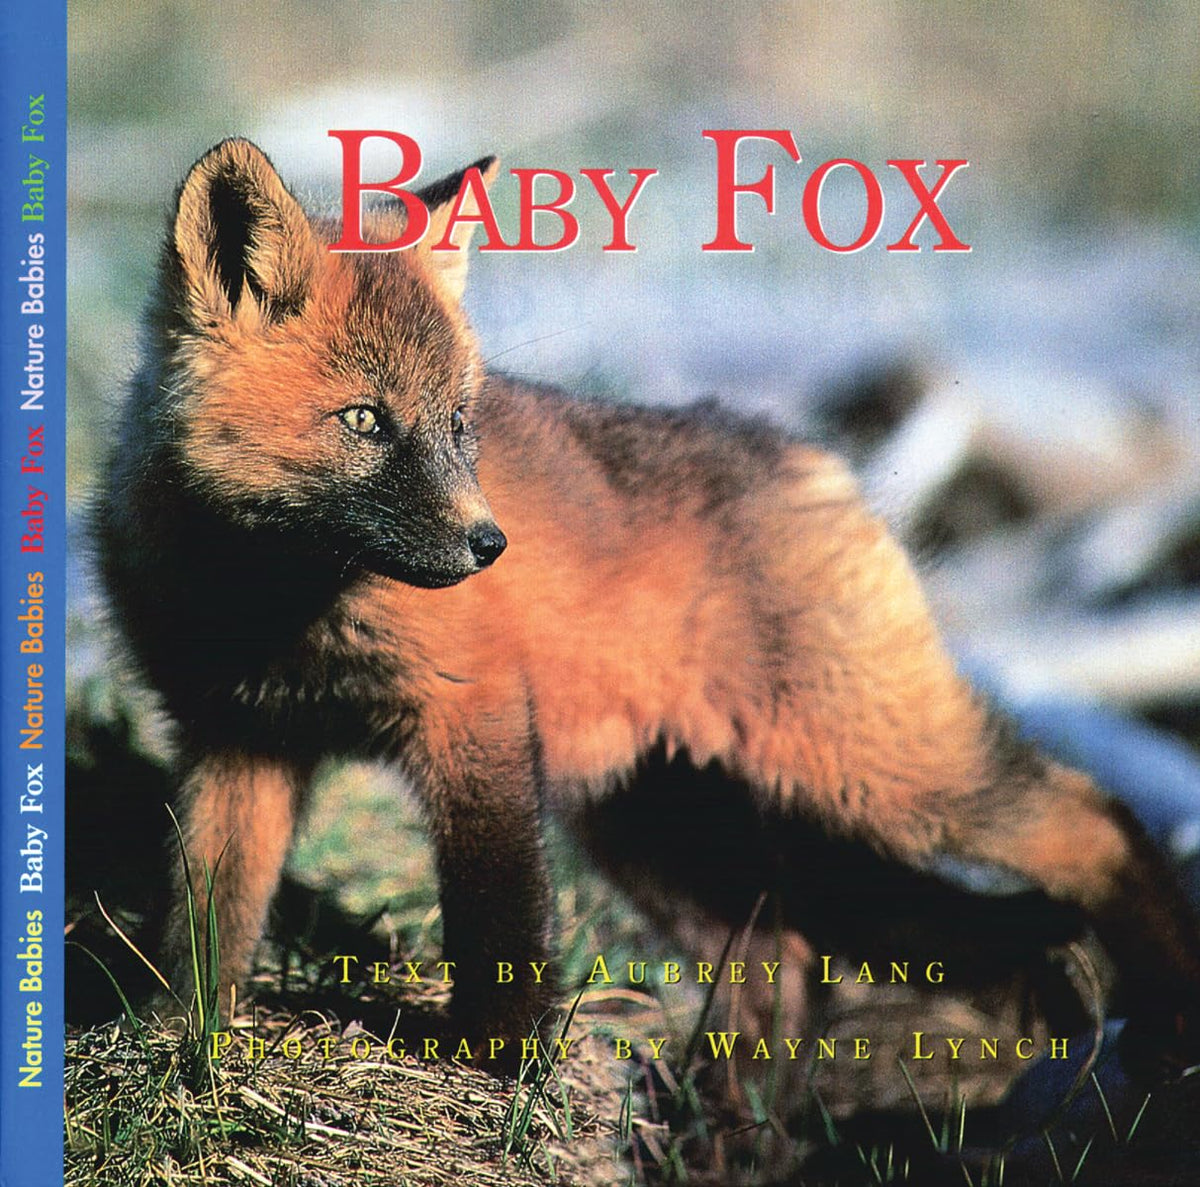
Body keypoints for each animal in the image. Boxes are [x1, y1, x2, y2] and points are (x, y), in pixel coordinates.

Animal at [96, 138, 1200, 1063]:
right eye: (366, 421)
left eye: (459, 424)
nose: (490, 545)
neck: (275, 605)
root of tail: (816, 457)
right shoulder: (235, 740)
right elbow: (206, 916)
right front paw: (177, 1038)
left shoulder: (474, 717)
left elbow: (499, 911)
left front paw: (500, 1057)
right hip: (672, 839)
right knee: (788, 957)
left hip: (887, 778)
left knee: (1098, 819)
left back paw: (1167, 1003)